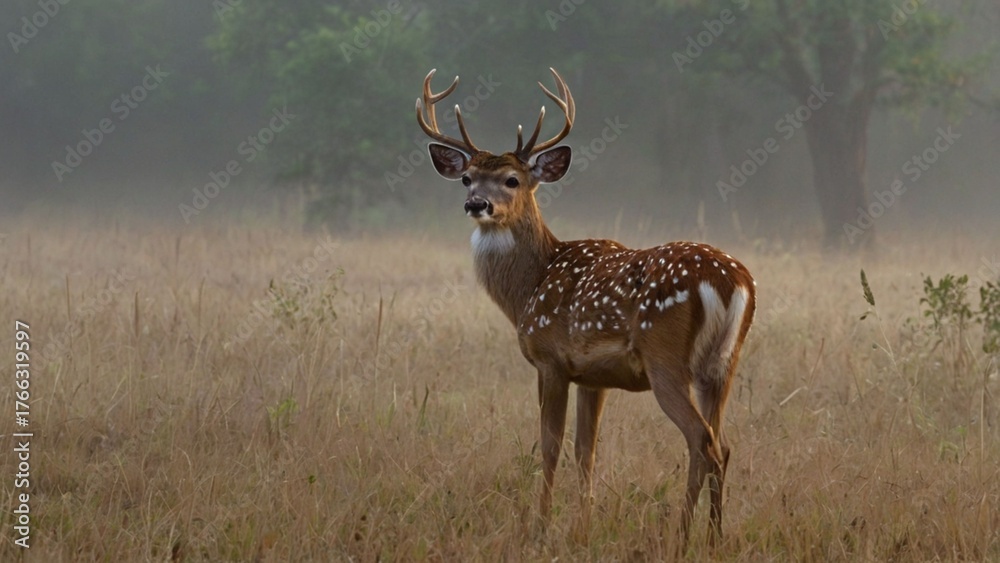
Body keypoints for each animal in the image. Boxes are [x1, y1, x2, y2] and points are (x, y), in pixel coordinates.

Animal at [416, 68, 756, 546]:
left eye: (512, 180)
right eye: (467, 177)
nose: (477, 204)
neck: (530, 286)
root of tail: (731, 281)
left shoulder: (551, 360)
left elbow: (550, 445)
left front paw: (539, 528)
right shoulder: (593, 376)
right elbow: (586, 451)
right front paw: (583, 526)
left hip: (666, 360)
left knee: (700, 440)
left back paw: (682, 534)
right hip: (722, 365)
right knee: (722, 444)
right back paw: (714, 535)